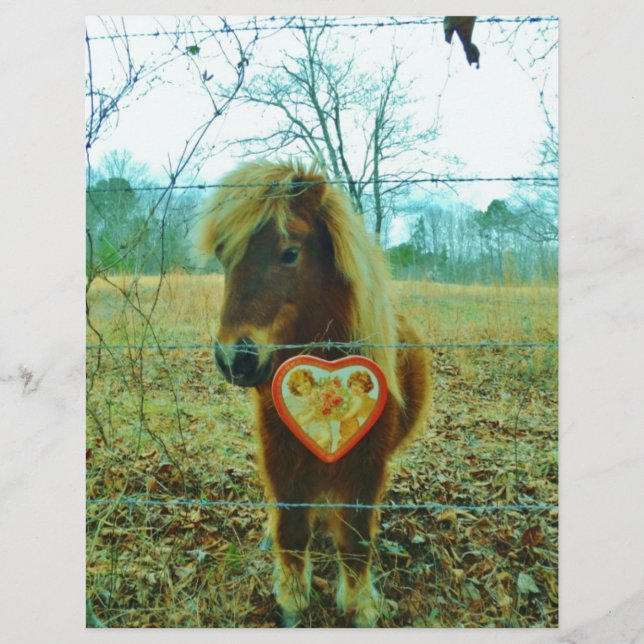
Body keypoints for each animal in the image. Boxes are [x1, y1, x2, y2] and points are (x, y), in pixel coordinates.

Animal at [197, 159, 432, 627]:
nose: (235, 358)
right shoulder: (281, 458)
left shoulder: (366, 466)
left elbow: (356, 541)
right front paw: (292, 599)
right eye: (223, 257)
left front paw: (360, 606)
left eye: (290, 252)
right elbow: (290, 530)